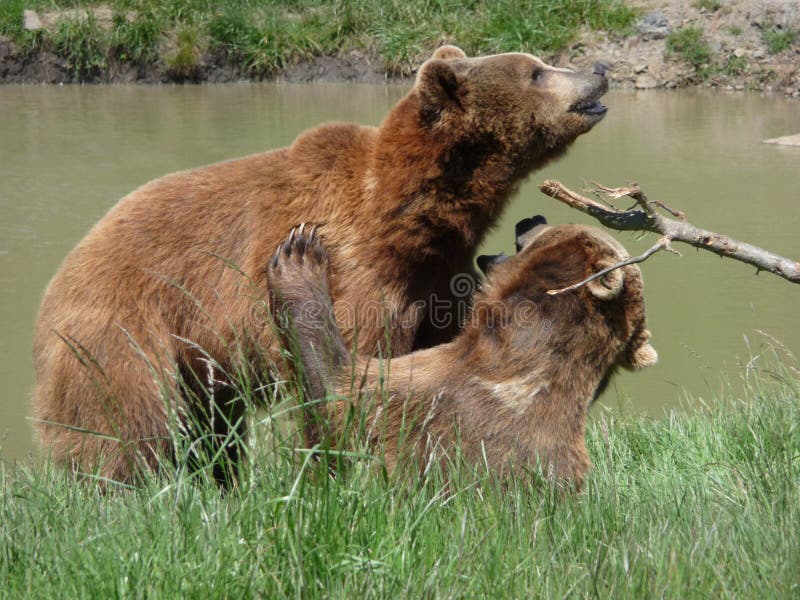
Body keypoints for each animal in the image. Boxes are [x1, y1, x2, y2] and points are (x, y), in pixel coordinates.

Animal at [32, 45, 609, 484]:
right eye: (536, 70)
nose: (600, 71)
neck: (406, 218)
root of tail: (64, 267)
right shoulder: (354, 273)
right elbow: (350, 372)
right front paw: (334, 468)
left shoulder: (433, 279)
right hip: (122, 328)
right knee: (124, 421)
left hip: (195, 358)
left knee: (211, 425)